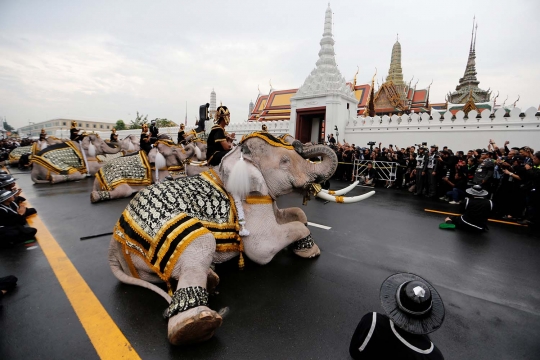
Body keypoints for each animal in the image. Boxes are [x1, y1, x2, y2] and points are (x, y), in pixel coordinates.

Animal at [107, 132, 374, 346]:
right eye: (285, 161)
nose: (299, 141)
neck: (236, 156)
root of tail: (113, 245)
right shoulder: (248, 201)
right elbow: (262, 248)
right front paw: (309, 251)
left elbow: (297, 215)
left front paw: (302, 242)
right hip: (163, 233)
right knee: (202, 243)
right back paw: (195, 326)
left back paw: (212, 277)